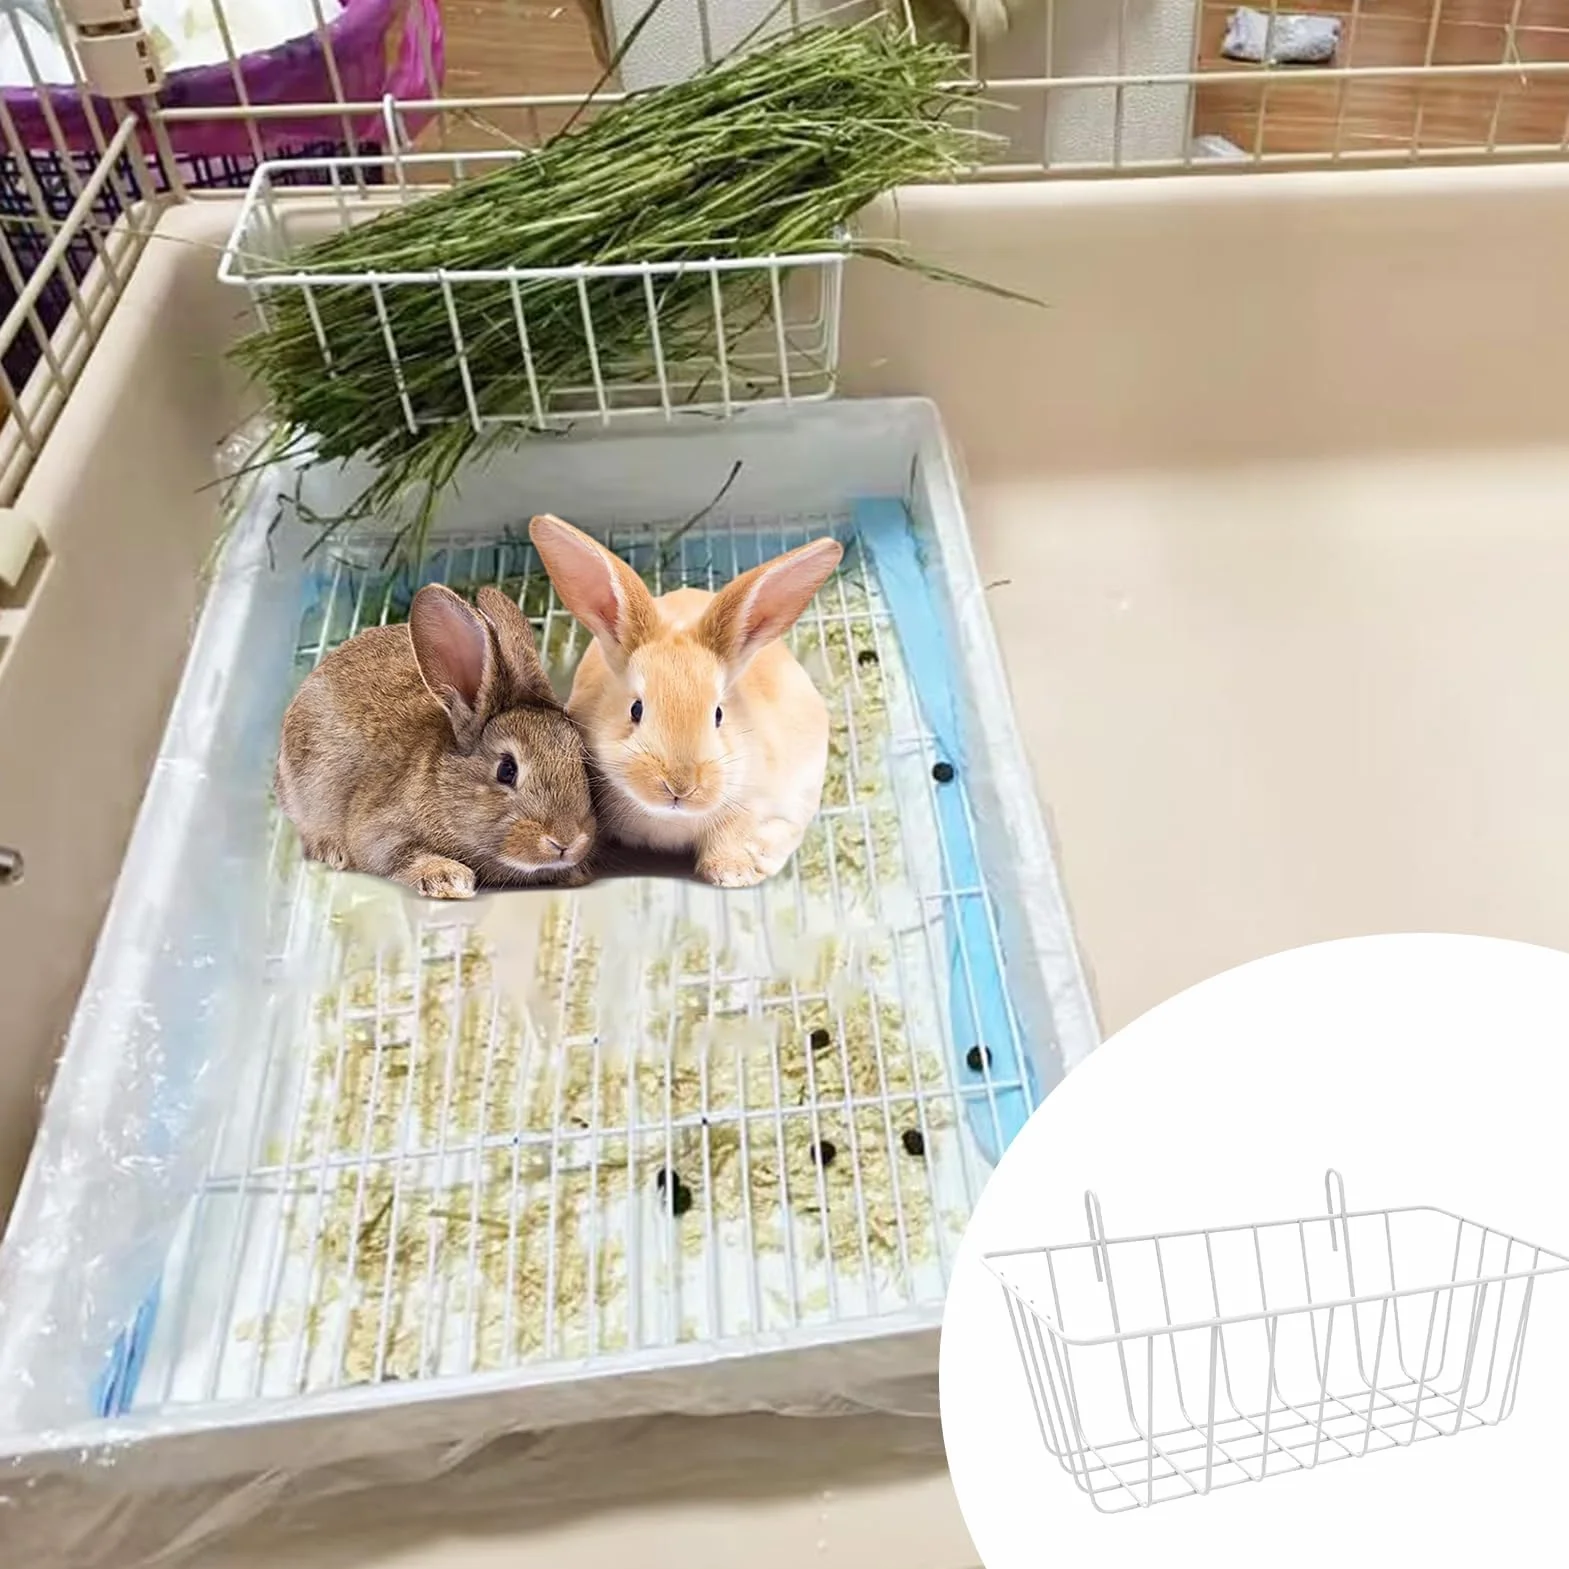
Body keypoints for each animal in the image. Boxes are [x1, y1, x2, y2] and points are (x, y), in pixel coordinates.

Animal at [274, 582, 597, 900]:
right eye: (507, 770)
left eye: (582, 761)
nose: (567, 840)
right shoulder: (379, 832)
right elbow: (399, 855)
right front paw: (447, 878)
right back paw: (333, 852)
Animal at [528, 513, 844, 889]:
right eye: (636, 709)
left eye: (718, 714)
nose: (679, 786)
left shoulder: (751, 804)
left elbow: (730, 836)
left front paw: (731, 874)